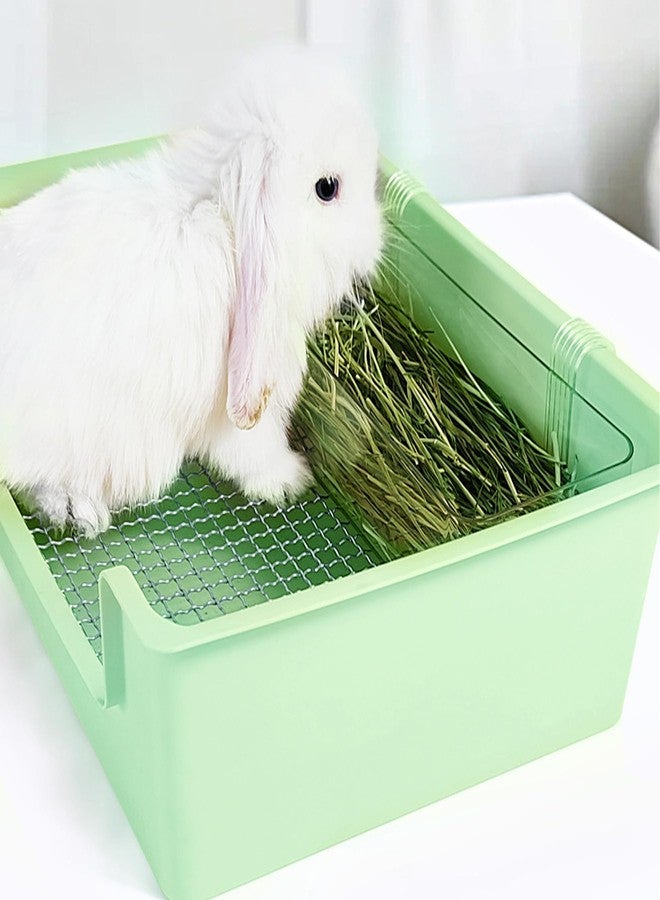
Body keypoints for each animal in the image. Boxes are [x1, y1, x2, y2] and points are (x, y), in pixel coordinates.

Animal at [0, 46, 382, 536]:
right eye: (327, 188)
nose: (373, 246)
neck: (218, 213)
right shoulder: (239, 411)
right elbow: (254, 451)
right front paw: (292, 480)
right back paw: (78, 508)